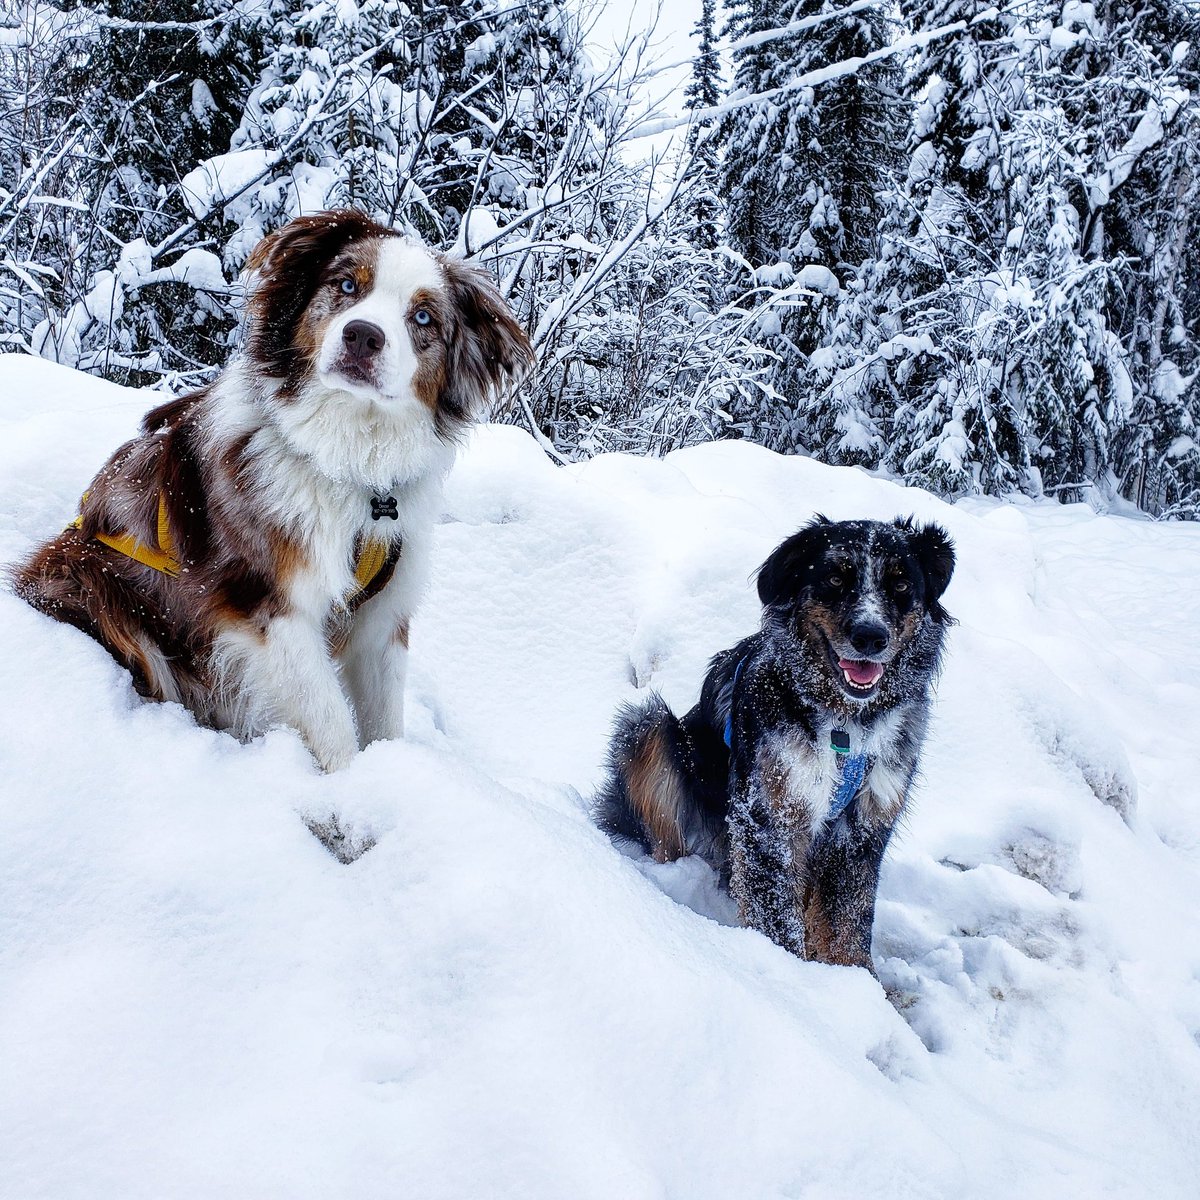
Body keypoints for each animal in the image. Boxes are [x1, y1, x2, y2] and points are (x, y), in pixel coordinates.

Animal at [14, 208, 530, 768]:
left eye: (423, 318)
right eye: (346, 285)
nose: (362, 336)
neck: (348, 462)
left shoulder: (384, 615)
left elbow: (383, 718)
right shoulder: (266, 604)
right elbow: (330, 722)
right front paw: (352, 783)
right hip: (93, 583)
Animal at [597, 516, 955, 974]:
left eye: (901, 584)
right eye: (834, 578)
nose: (870, 636)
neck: (845, 724)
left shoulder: (865, 823)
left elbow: (850, 918)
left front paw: (855, 980)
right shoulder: (769, 814)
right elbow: (779, 918)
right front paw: (792, 978)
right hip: (650, 728)